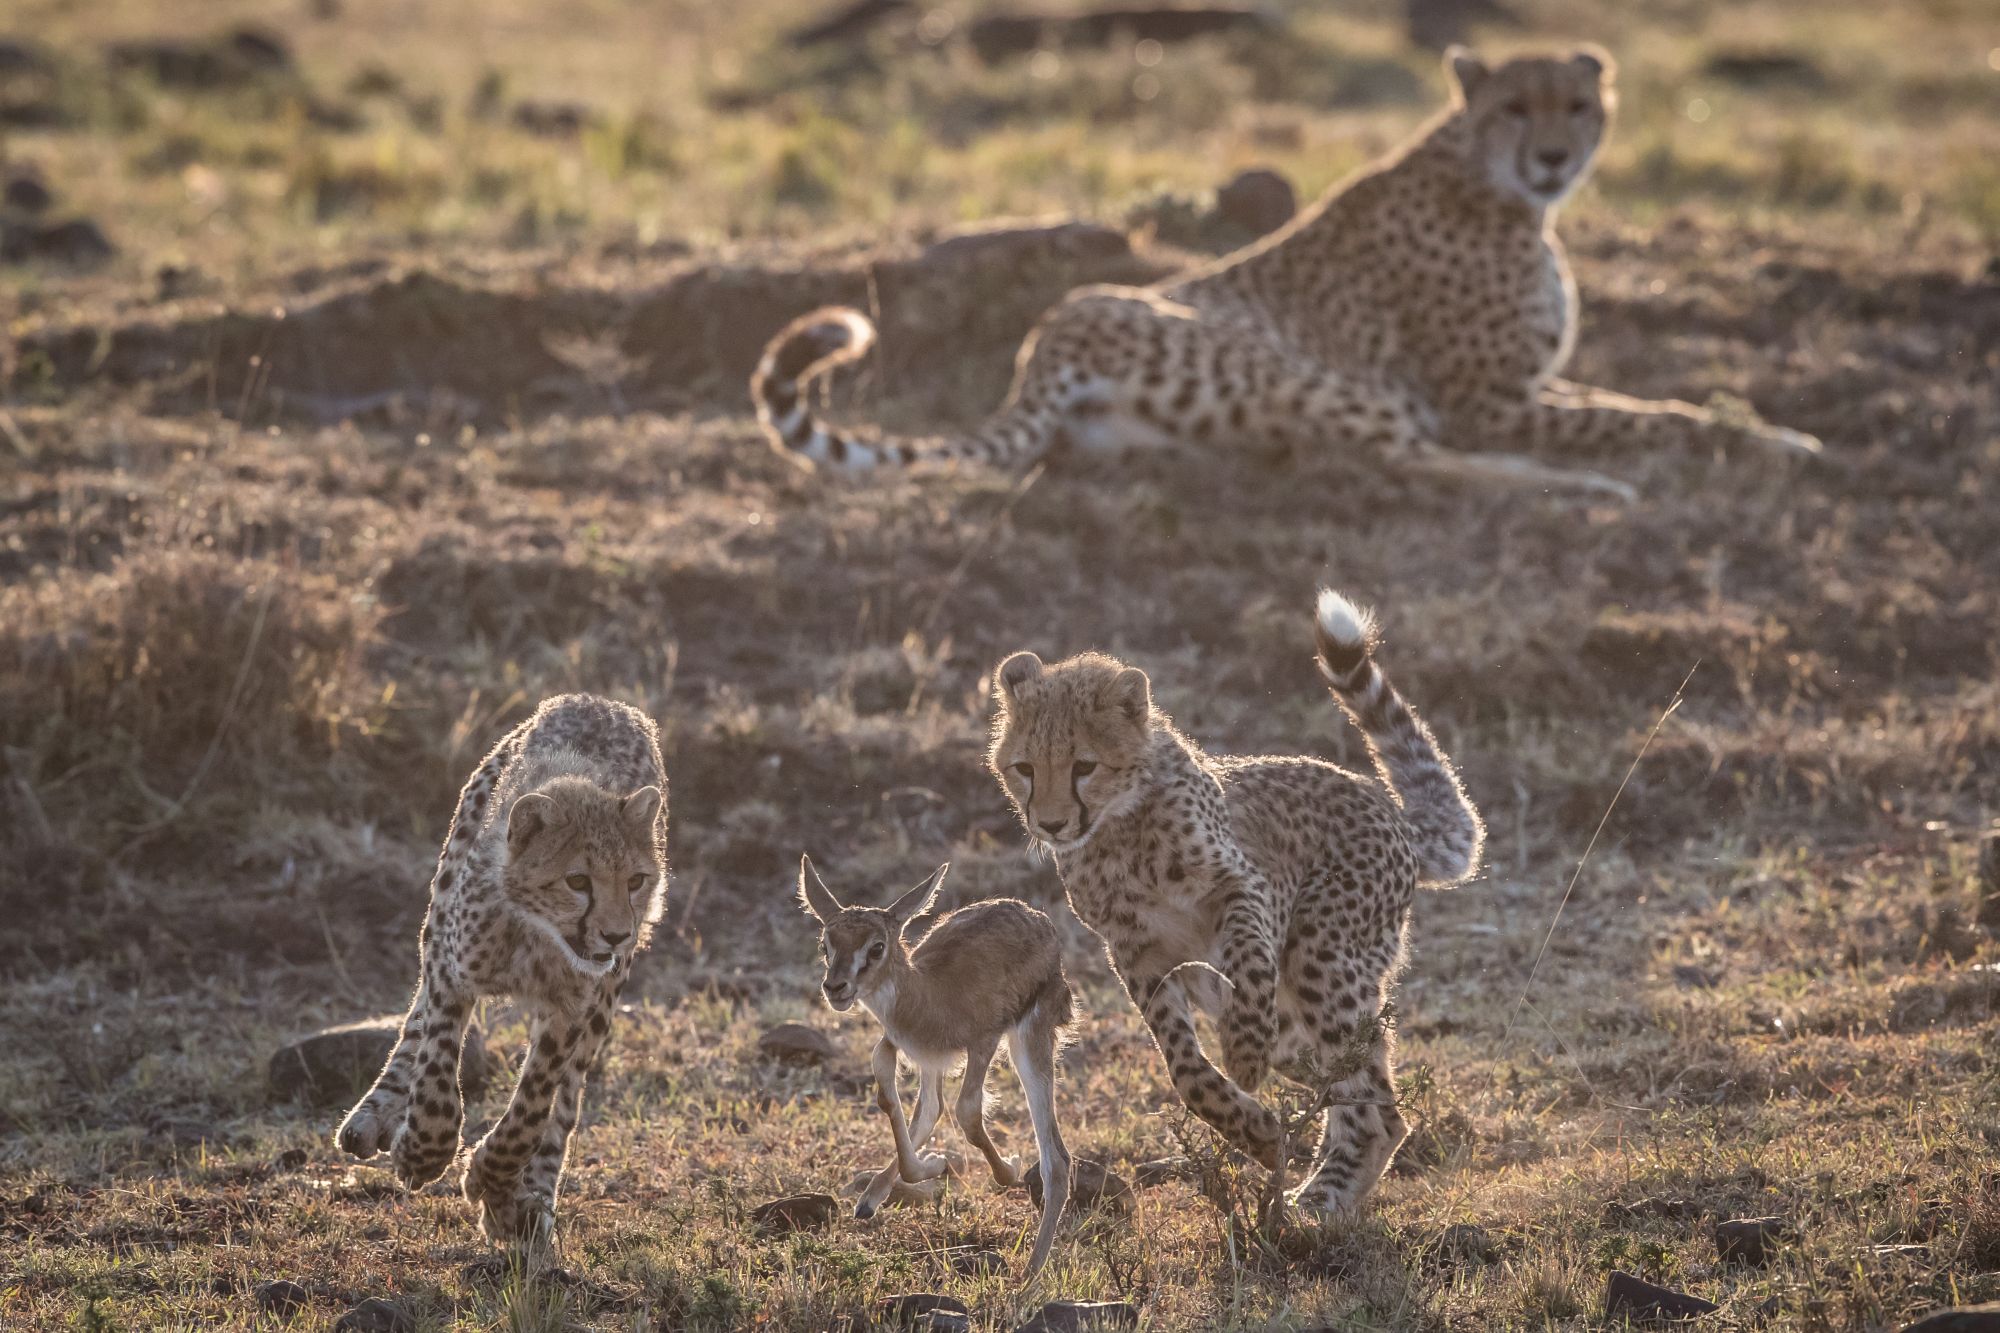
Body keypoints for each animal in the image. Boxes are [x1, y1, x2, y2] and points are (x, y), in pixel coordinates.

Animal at [336, 693, 667, 1247]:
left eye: (636, 880)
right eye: (578, 881)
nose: (617, 935)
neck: (536, 934)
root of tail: (598, 700)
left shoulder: (575, 1006)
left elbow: (534, 1104)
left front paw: (491, 1177)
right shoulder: (452, 971)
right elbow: (436, 1059)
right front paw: (424, 1150)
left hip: (606, 999)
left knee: (565, 1103)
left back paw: (529, 1198)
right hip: (440, 910)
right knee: (414, 1022)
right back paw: (374, 1115)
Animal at [752, 45, 1820, 503]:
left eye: (1576, 104)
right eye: (1516, 107)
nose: (1555, 156)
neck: (1492, 181)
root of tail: (1047, 338)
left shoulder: (1525, 385)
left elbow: (1641, 400)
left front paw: (1767, 432)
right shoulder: (1488, 400)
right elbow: (1646, 415)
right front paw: (1780, 443)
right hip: (1330, 381)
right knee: (1400, 458)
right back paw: (1578, 487)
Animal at [795, 855, 1076, 1278]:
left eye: (877, 947)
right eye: (825, 944)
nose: (836, 988)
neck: (932, 996)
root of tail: (1037, 918)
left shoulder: (982, 1042)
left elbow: (968, 1111)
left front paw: (1007, 1168)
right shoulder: (905, 1048)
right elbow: (898, 1098)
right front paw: (931, 1165)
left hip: (1029, 1043)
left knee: (1056, 1160)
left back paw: (1028, 1279)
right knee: (931, 1108)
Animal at [986, 587, 1484, 1215]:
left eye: (1084, 766)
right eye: (1025, 768)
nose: (1050, 825)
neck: (1121, 828)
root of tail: (1387, 806)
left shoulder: (1245, 887)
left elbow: (1247, 957)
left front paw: (1244, 1054)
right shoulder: (1134, 949)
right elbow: (1183, 1066)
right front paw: (1256, 1131)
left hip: (1322, 951)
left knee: (1375, 1105)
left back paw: (1322, 1202)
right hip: (1299, 1026)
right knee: (1350, 1082)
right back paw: (1312, 1187)